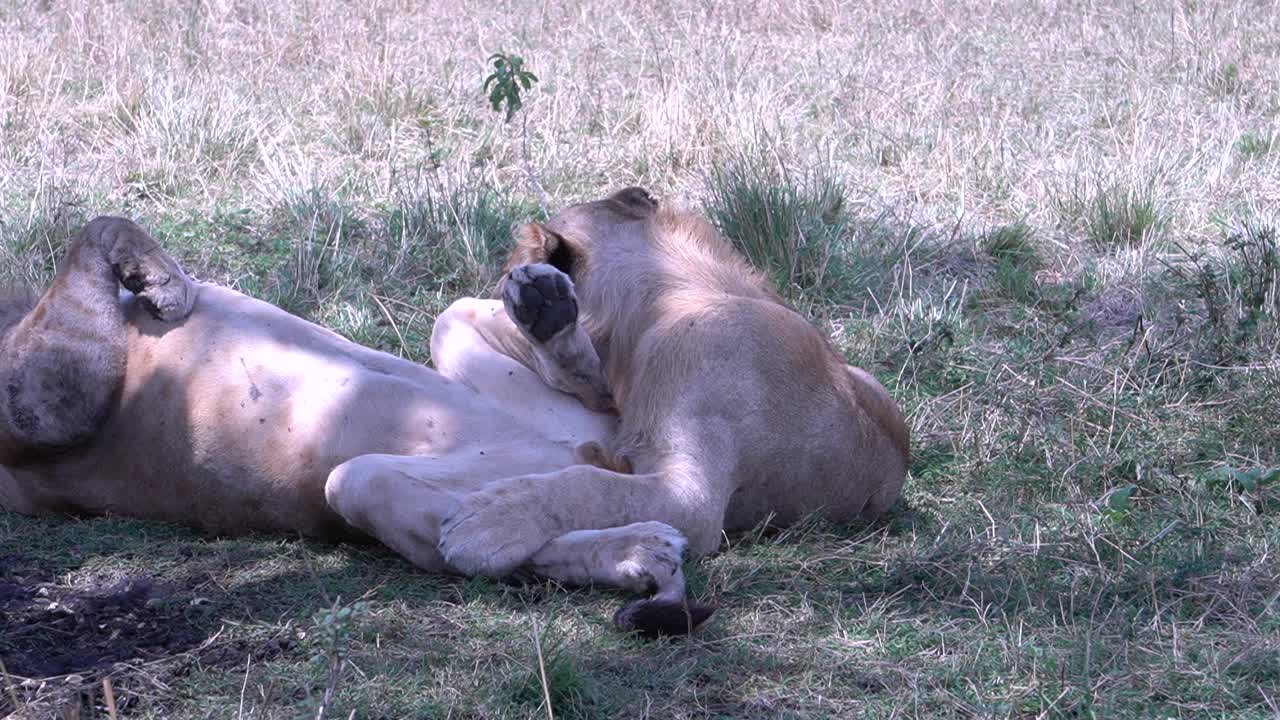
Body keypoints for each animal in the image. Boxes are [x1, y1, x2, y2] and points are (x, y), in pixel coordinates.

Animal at [0, 190, 906, 632]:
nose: (514, 269)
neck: (685, 297)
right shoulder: (42, 412)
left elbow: (95, 227)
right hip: (363, 480)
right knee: (474, 522)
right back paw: (628, 553)